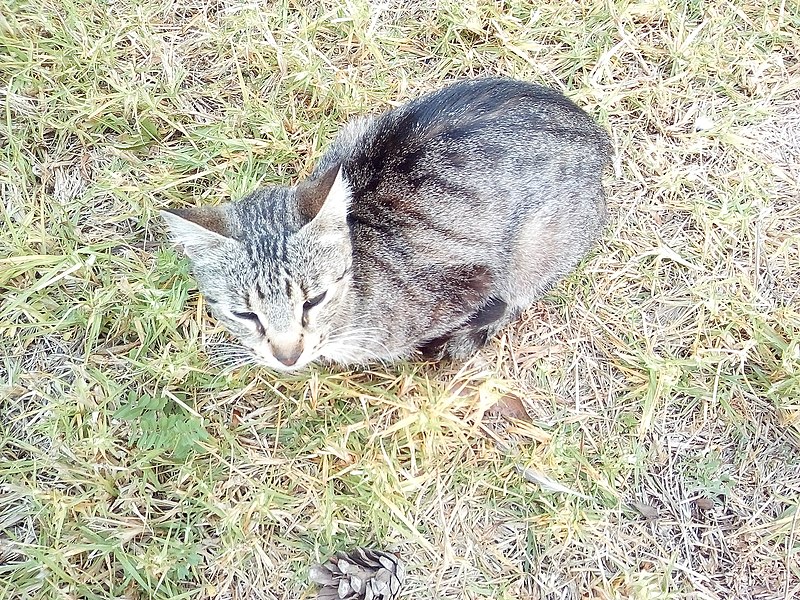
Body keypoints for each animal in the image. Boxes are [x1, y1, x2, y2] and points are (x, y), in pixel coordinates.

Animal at [162, 78, 612, 370]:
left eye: (314, 300)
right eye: (245, 314)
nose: (287, 357)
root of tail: (594, 132)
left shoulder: (471, 280)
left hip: (534, 247)